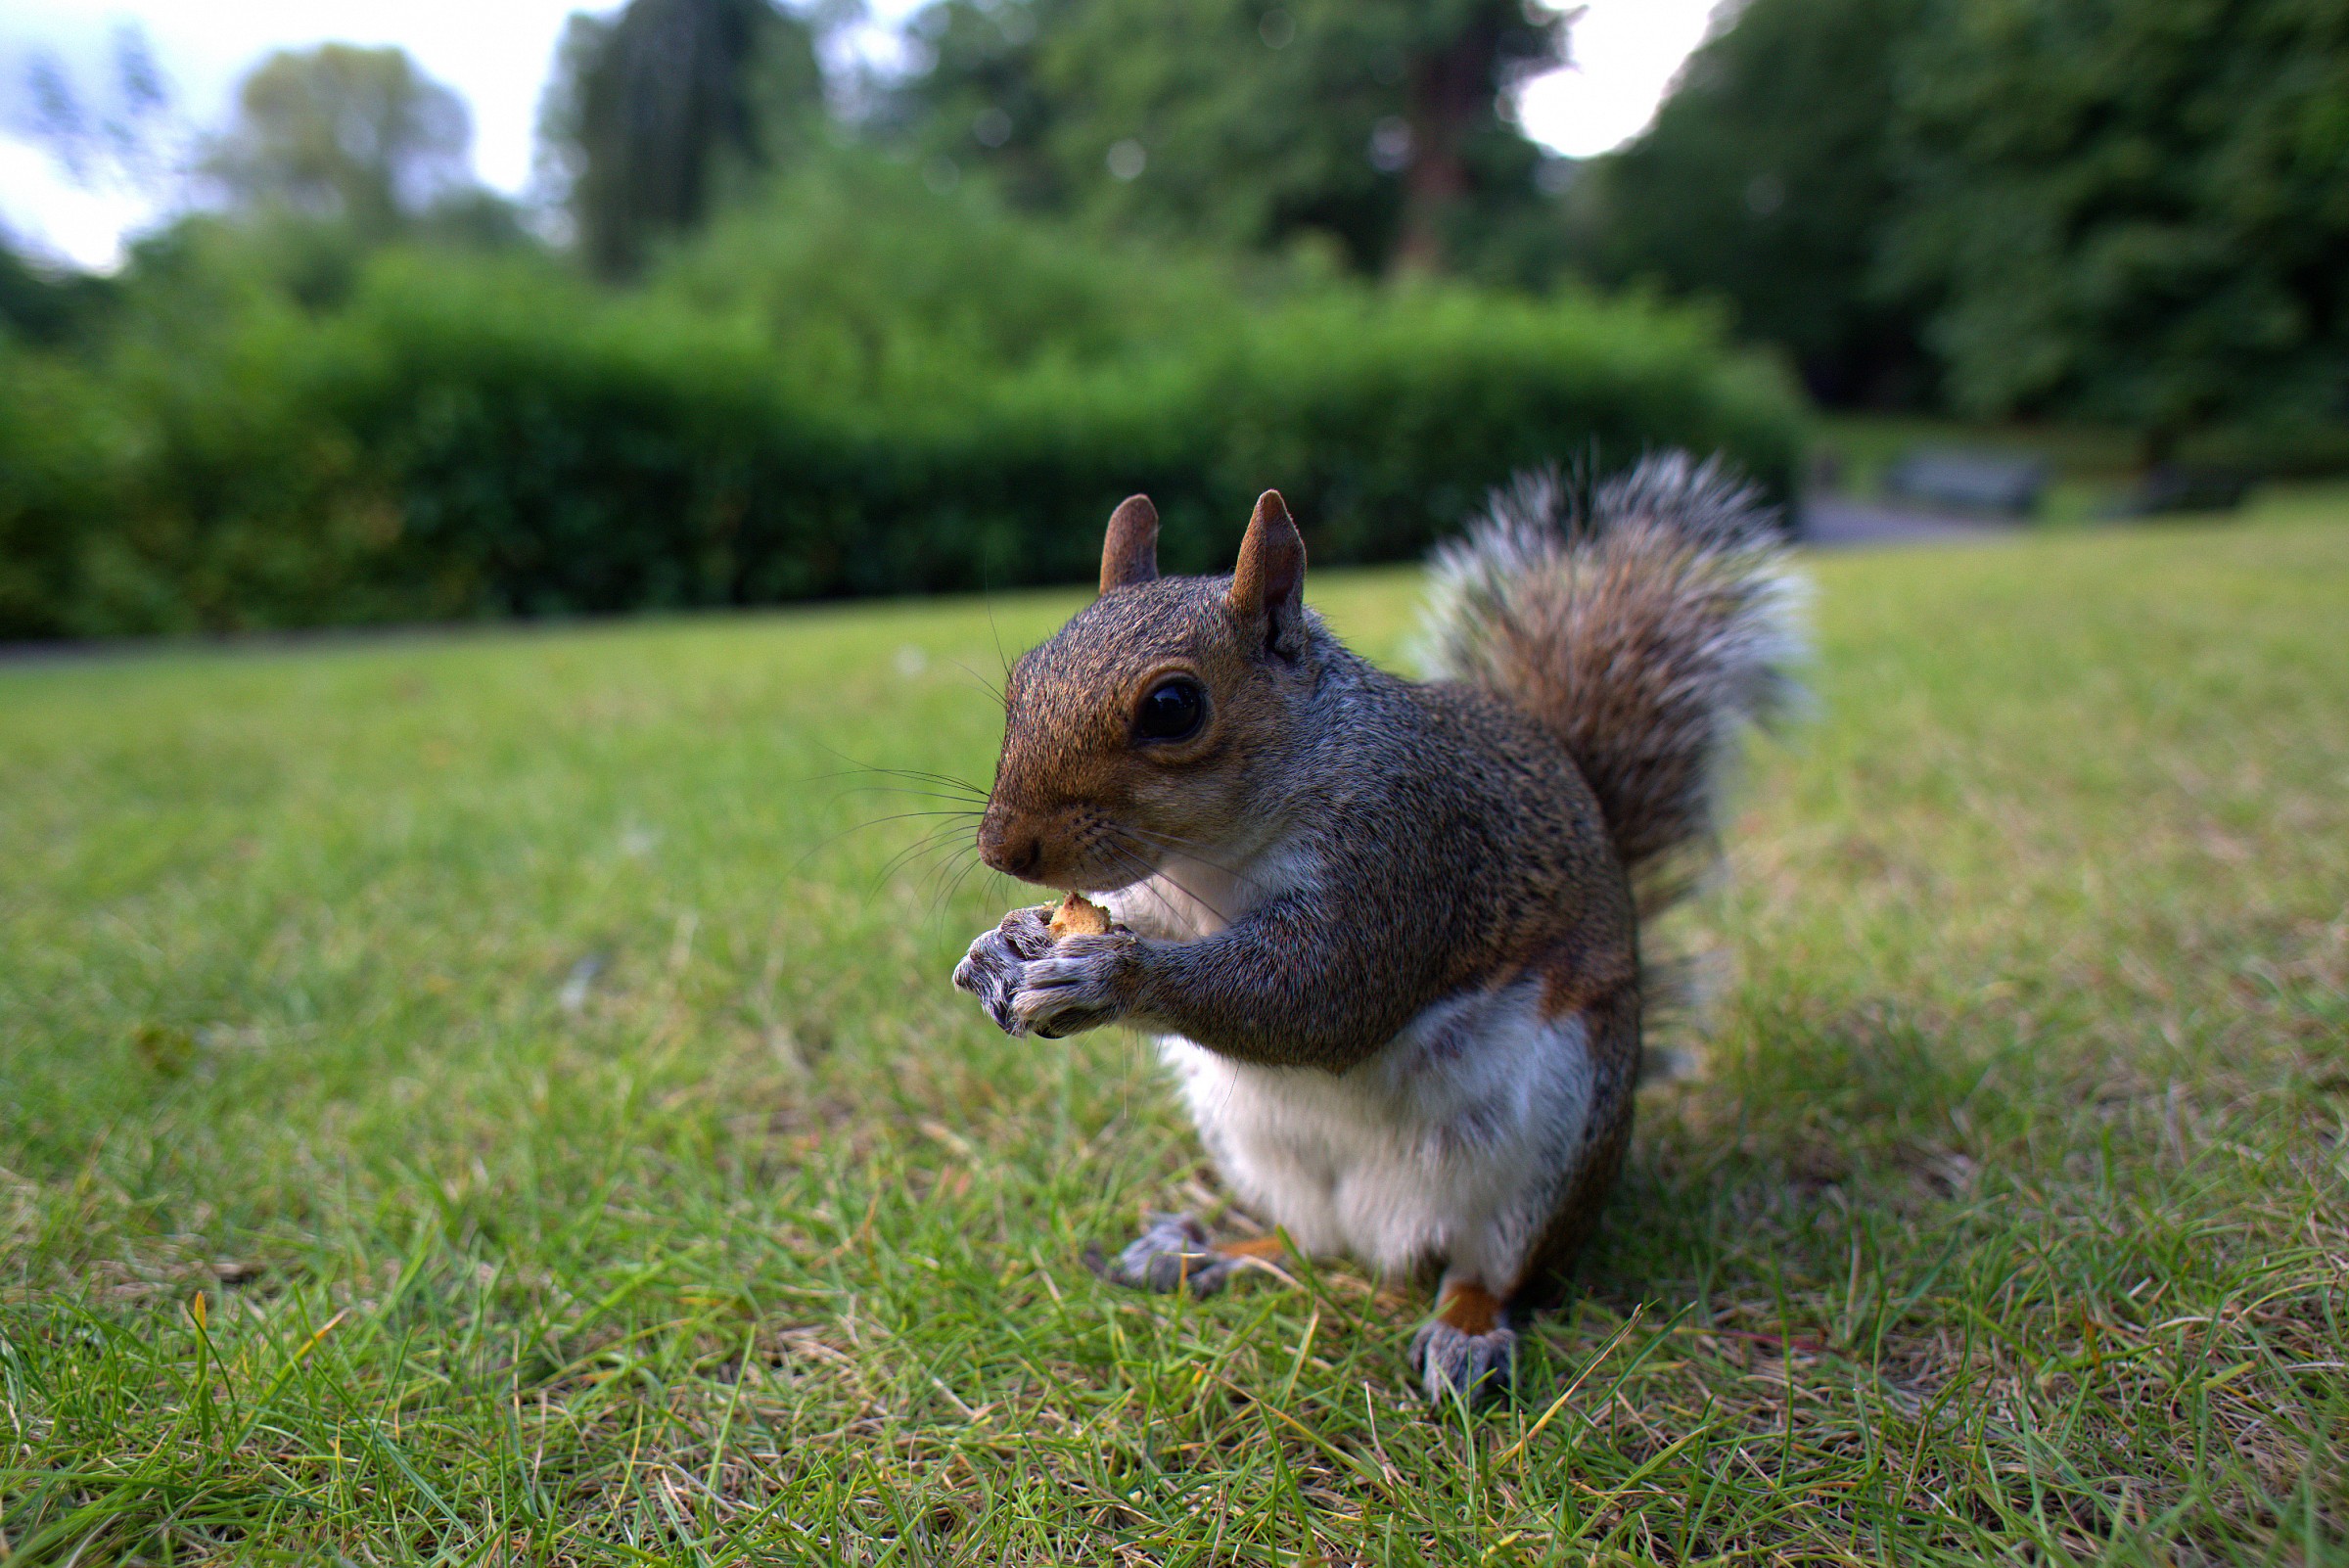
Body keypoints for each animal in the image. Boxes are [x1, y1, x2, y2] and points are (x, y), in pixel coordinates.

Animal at [952, 453, 1799, 1405]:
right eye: (1024, 677)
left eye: (1173, 706)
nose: (1002, 847)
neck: (1212, 865)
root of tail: (1385, 1238)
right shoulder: (1169, 898)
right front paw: (1000, 946)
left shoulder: (1404, 854)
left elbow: (1323, 997)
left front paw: (1105, 977)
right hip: (1260, 1149)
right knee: (1307, 1247)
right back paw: (1202, 1252)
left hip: (1552, 1138)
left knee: (1493, 1270)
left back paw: (1463, 1333)